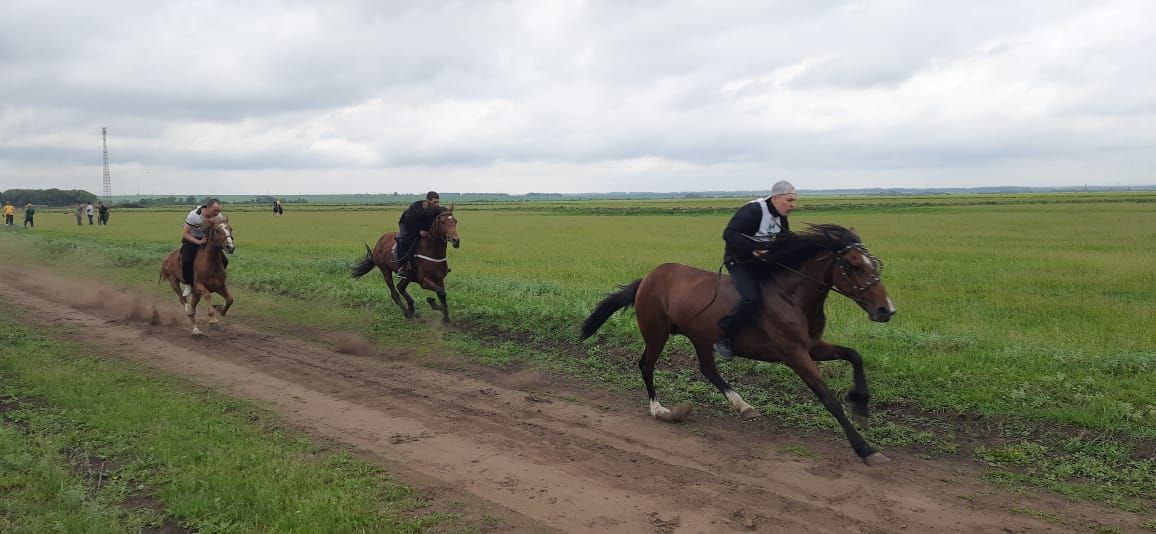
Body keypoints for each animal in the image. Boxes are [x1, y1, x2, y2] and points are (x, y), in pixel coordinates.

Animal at [582, 223, 897, 464]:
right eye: (854, 266)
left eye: (874, 264)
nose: (886, 309)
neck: (791, 296)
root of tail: (647, 278)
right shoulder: (794, 353)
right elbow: (828, 398)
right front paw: (866, 449)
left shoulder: (812, 346)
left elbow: (855, 355)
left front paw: (861, 406)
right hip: (656, 333)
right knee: (646, 365)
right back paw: (660, 410)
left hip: (700, 337)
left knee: (708, 369)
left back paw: (742, 404)